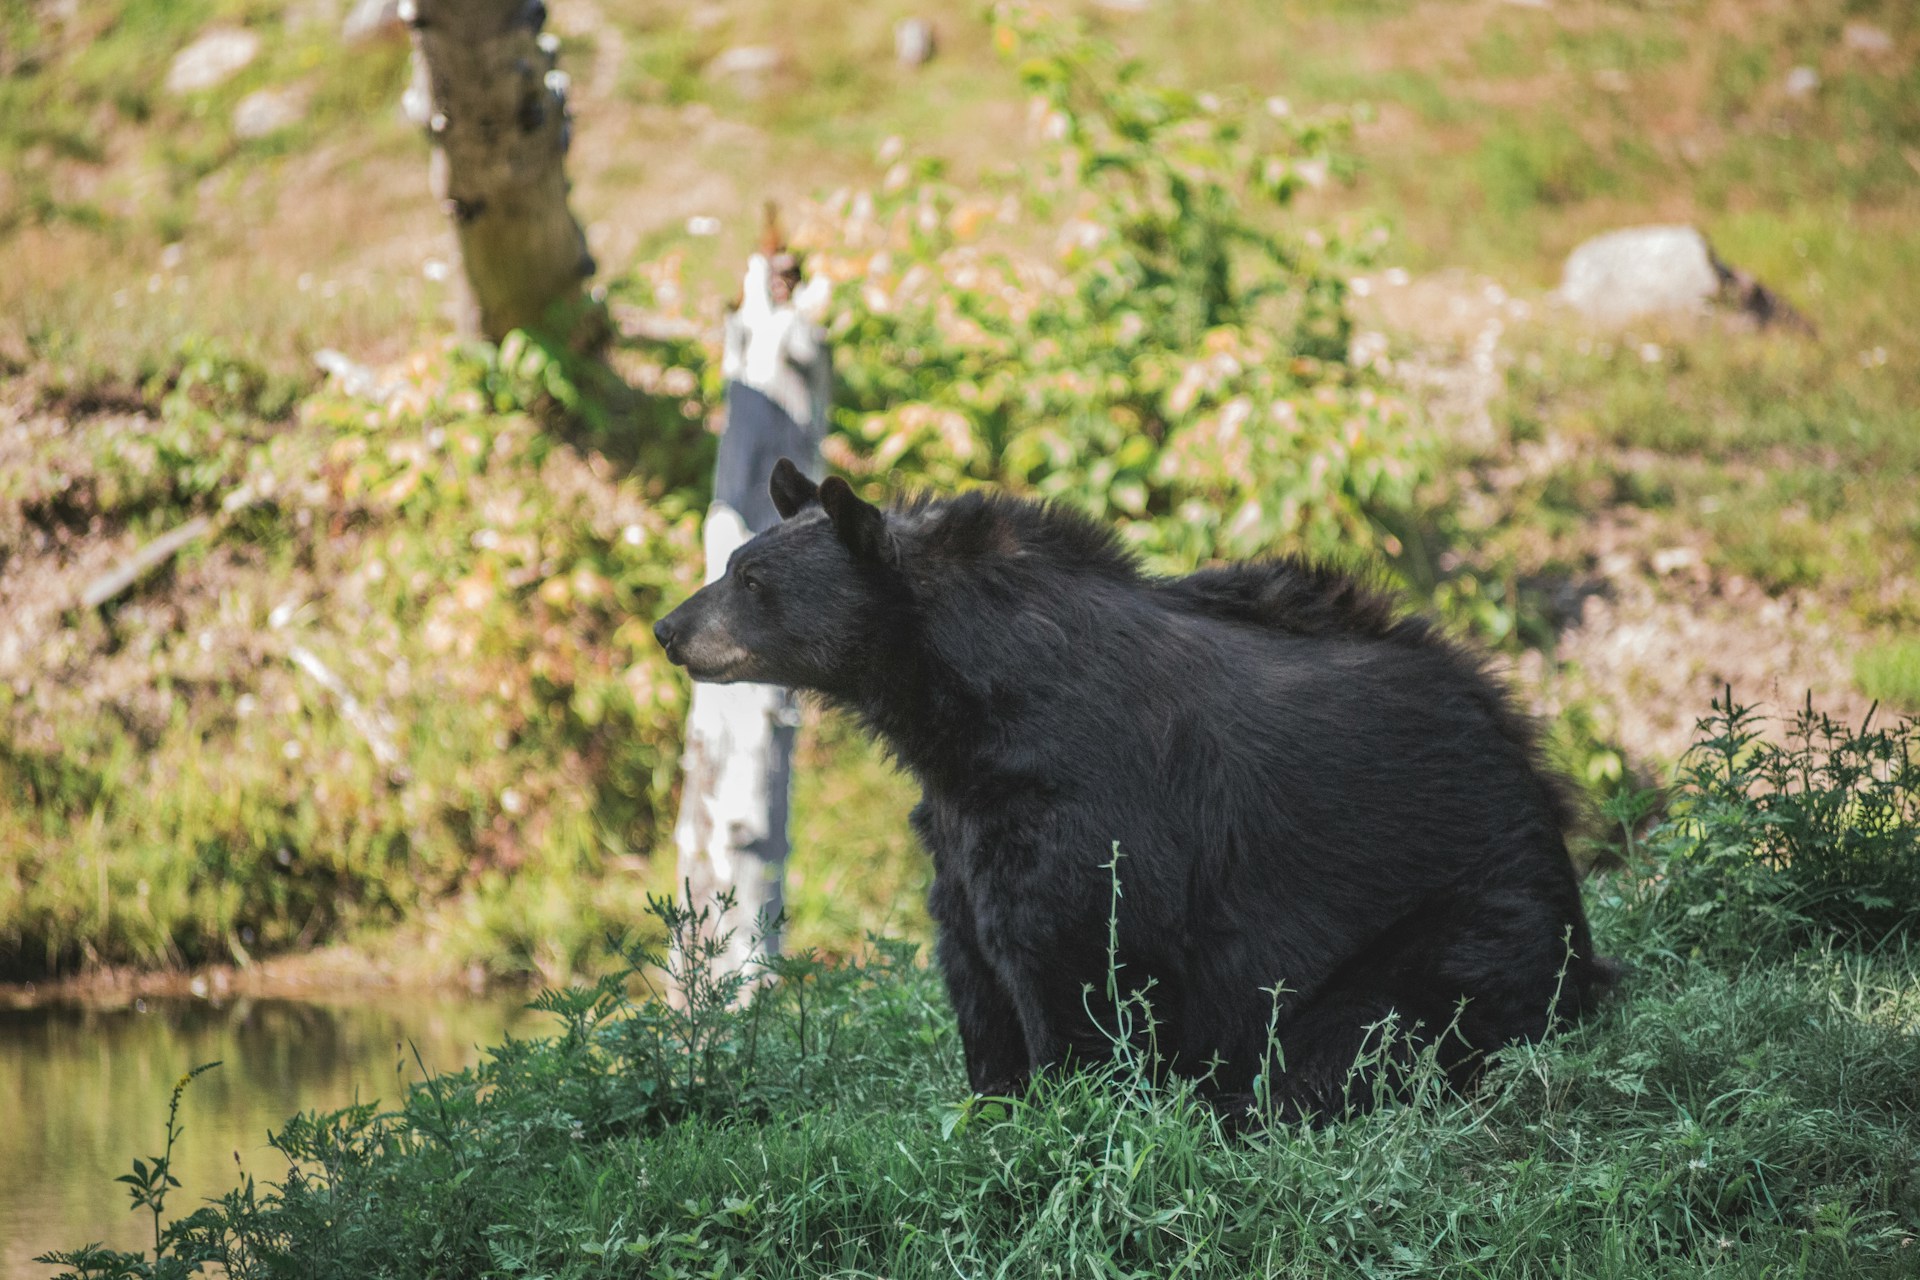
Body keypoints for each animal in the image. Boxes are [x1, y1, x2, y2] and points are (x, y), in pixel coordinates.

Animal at [652, 466, 1612, 1128]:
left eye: (753, 583)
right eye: (733, 563)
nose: (668, 628)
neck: (961, 707)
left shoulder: (1083, 801)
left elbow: (1074, 957)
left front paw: (1070, 1105)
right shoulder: (962, 821)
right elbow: (973, 962)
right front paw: (993, 1104)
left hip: (1460, 915)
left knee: (1367, 1034)